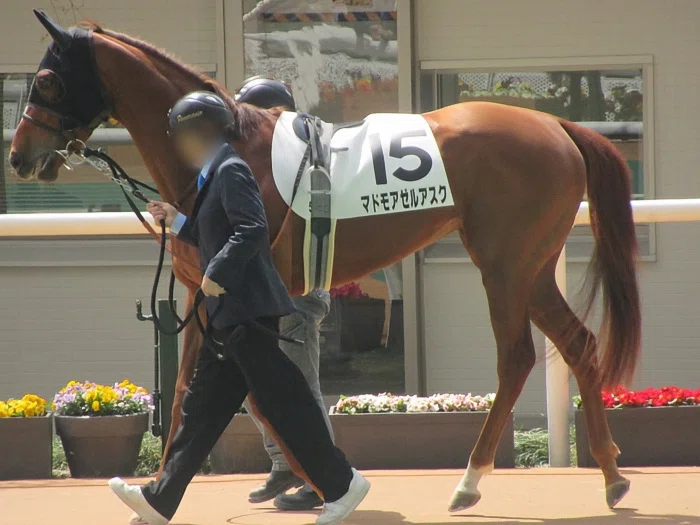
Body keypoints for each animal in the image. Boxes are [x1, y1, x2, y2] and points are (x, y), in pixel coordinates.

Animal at [10, 11, 640, 512]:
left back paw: (470, 480)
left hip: (504, 266)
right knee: (579, 343)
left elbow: (263, 396)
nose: (19, 155)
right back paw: (611, 475)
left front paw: (314, 483)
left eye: (45, 79)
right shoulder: (203, 294)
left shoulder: (246, 299)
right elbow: (200, 391)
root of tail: (555, 124)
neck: (229, 148)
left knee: (516, 359)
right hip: (532, 268)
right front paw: (163, 485)